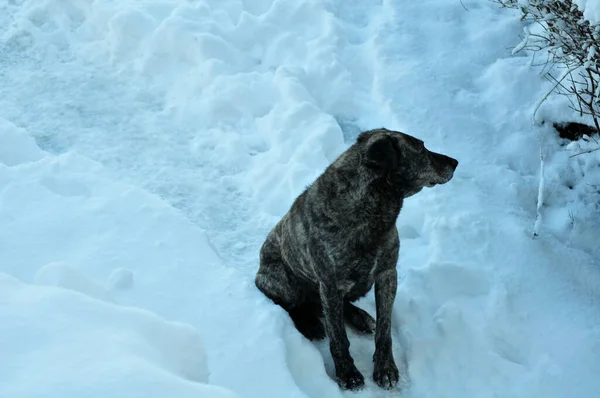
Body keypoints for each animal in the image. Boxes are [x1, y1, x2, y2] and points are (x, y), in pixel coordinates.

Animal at [254, 127, 460, 388]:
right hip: (280, 278)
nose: (455, 162)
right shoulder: (330, 284)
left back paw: (360, 317)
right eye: (420, 148)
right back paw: (309, 323)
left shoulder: (387, 274)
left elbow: (385, 328)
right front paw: (347, 373)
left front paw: (385, 368)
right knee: (292, 305)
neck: (371, 209)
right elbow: (338, 337)